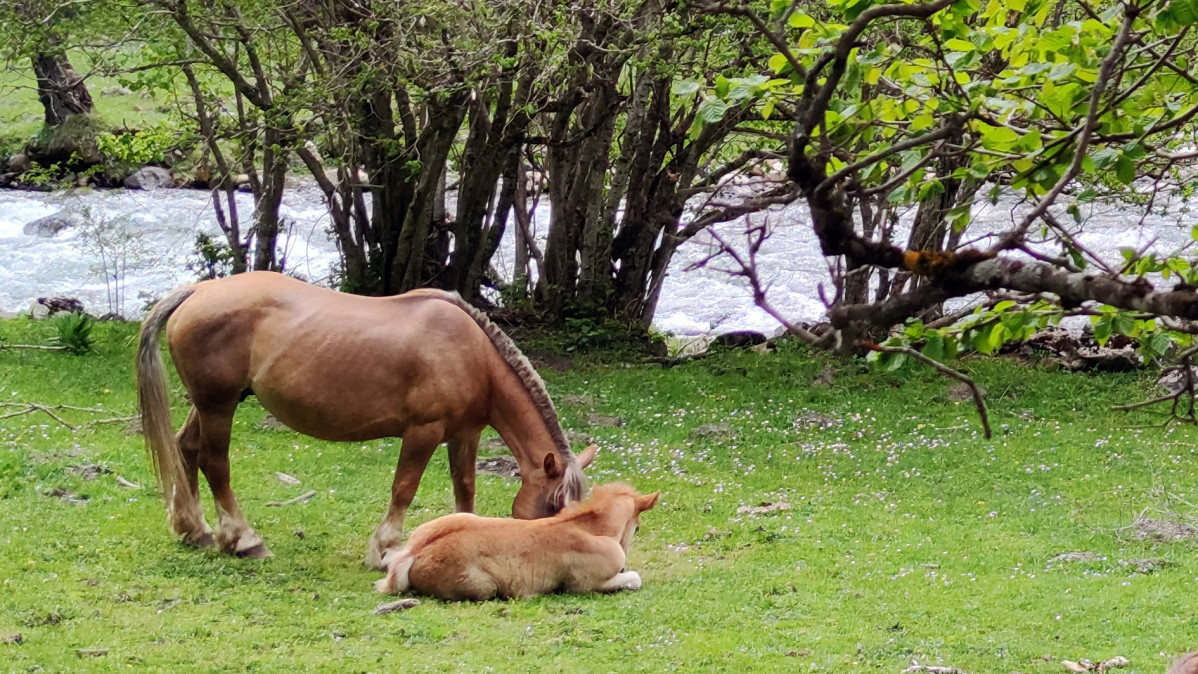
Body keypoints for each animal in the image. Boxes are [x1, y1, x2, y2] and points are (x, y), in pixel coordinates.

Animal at [137, 271, 596, 567]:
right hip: (219, 405)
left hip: (213, 403)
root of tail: (196, 291)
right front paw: (384, 549)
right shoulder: (424, 432)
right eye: (553, 505)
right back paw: (244, 540)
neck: (472, 353)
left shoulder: (465, 433)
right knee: (214, 462)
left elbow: (464, 488)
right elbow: (404, 488)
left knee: (186, 449)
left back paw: (194, 530)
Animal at [373, 486, 661, 600]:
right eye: (637, 527)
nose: (623, 563)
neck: (591, 529)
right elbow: (635, 578)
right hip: (484, 588)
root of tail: (414, 552)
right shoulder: (585, 585)